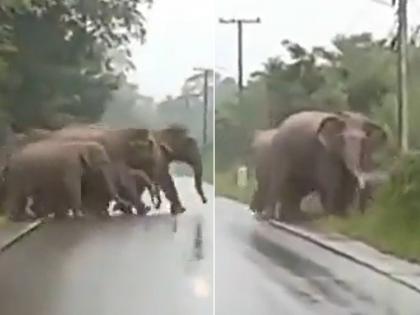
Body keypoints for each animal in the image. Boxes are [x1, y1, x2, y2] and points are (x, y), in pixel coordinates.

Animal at [260, 111, 388, 222]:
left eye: (364, 141)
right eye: (342, 139)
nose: (361, 216)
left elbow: (348, 184)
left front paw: (343, 218)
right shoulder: (325, 152)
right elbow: (330, 183)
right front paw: (331, 218)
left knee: (295, 189)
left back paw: (295, 218)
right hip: (280, 150)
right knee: (279, 181)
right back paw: (268, 217)